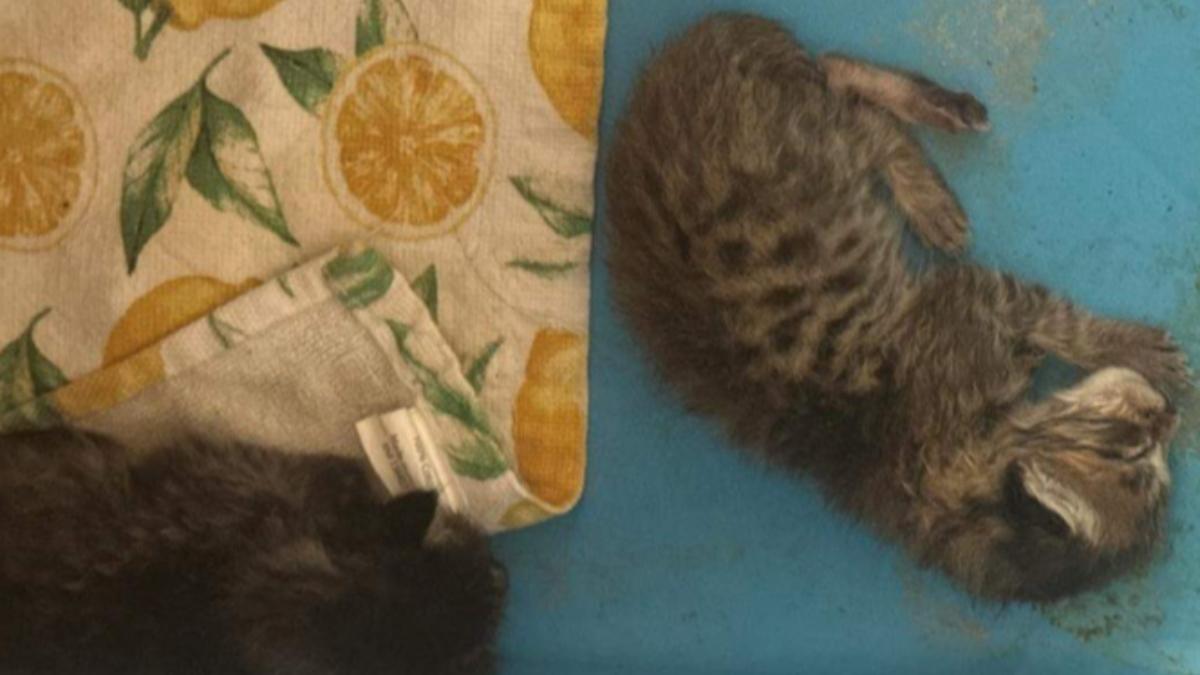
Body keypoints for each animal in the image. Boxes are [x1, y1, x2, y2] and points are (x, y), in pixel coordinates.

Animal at [606, 13, 1190, 601]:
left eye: (1157, 465)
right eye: (1135, 451)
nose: (1168, 414)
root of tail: (692, 45)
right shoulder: (971, 302)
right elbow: (1061, 318)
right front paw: (1135, 348)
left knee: (836, 77)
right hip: (812, 143)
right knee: (854, 106)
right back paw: (934, 167)